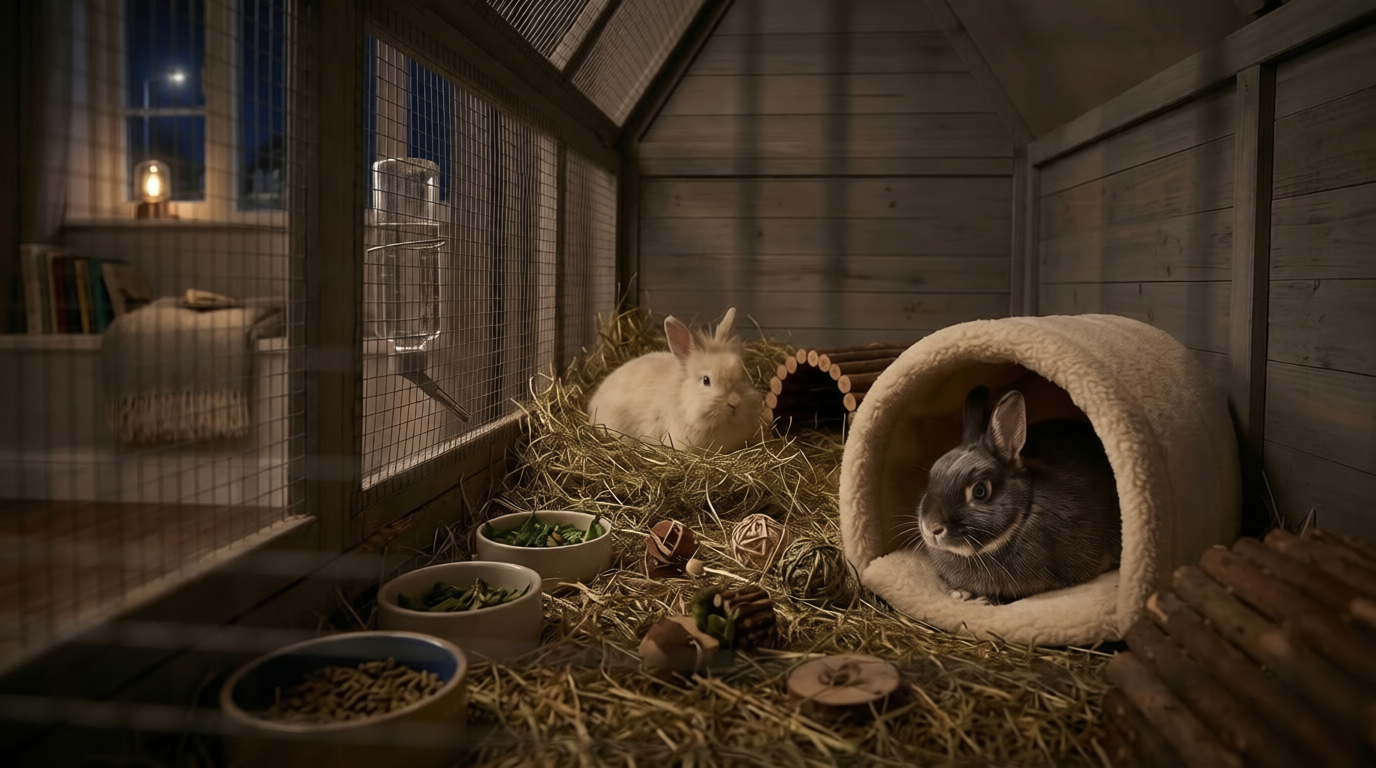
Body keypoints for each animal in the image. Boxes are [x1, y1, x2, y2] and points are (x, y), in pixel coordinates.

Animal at [913, 385, 1122, 604]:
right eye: (932, 475)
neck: (1023, 516)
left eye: (980, 491)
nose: (930, 527)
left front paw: (985, 600)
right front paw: (960, 593)